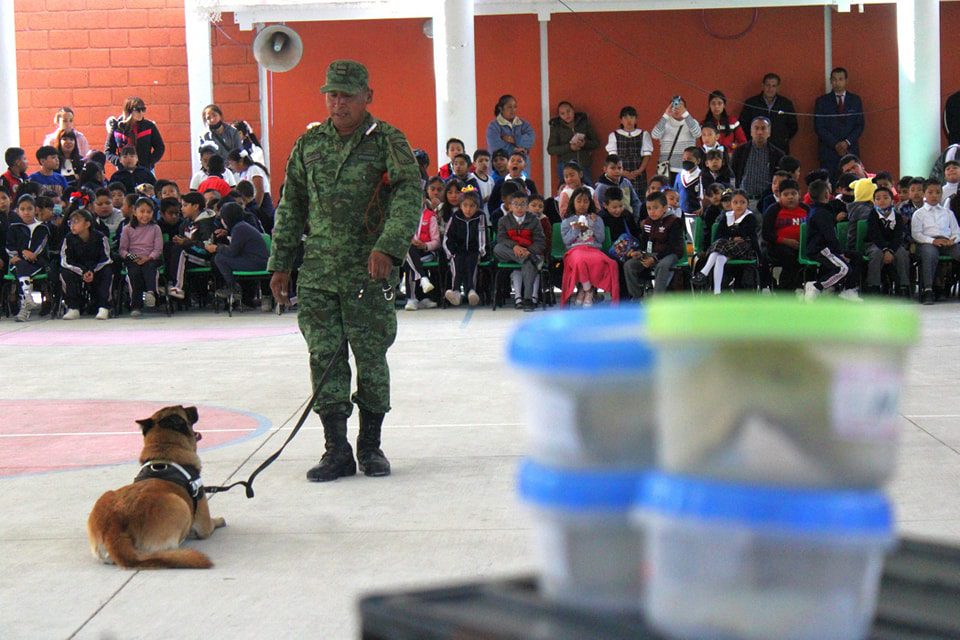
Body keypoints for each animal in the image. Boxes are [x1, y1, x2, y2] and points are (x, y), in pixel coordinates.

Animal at [87, 404, 226, 568]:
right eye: (184, 409)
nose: (194, 407)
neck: (163, 452)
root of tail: (114, 528)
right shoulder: (203, 521)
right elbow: (210, 524)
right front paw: (218, 520)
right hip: (180, 504)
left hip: (107, 494)